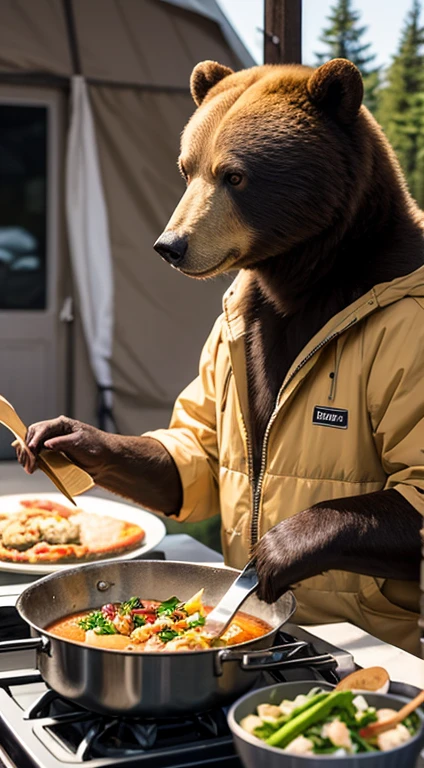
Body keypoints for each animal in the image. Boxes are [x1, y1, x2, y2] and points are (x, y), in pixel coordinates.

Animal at [19, 58, 424, 656]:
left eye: (234, 175)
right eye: (186, 169)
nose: (170, 245)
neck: (305, 274)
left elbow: (410, 482)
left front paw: (276, 550)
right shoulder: (243, 336)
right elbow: (196, 452)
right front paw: (63, 435)